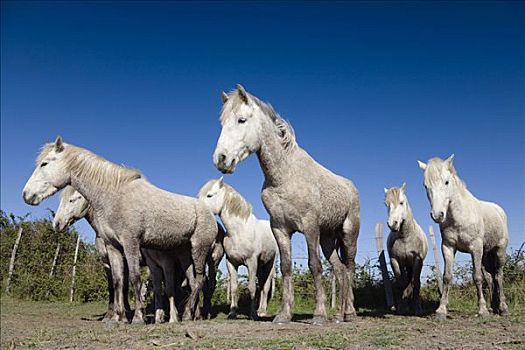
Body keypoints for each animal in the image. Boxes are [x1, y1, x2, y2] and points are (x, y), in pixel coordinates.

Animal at [24, 138, 217, 324]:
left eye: (44, 164)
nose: (26, 195)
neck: (115, 196)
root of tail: (210, 213)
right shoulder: (113, 248)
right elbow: (117, 283)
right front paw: (118, 317)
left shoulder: (130, 243)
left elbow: (134, 278)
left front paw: (137, 317)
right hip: (185, 255)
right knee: (193, 281)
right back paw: (191, 314)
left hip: (199, 249)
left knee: (199, 281)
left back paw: (188, 315)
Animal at [198, 178, 278, 320]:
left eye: (209, 195)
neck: (238, 231)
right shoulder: (231, 263)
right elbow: (234, 288)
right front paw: (232, 313)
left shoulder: (252, 262)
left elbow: (251, 288)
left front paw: (253, 315)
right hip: (260, 266)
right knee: (262, 285)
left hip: (269, 264)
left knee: (266, 286)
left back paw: (261, 311)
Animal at [211, 85, 358, 326]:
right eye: (222, 122)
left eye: (242, 120)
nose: (221, 159)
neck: (285, 176)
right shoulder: (280, 229)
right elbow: (286, 267)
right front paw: (284, 315)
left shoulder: (310, 227)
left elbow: (314, 265)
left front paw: (319, 315)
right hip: (328, 239)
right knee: (339, 269)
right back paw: (338, 315)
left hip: (348, 234)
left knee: (349, 267)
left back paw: (350, 313)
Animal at [382, 183, 428, 314]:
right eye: (386, 204)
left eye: (401, 202)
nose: (392, 224)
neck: (405, 237)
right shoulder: (395, 260)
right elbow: (401, 282)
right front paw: (403, 306)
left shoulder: (418, 260)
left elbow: (415, 282)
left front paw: (416, 308)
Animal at [418, 154, 508, 318]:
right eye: (425, 185)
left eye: (446, 182)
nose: (437, 215)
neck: (460, 217)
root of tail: (499, 211)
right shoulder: (448, 247)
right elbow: (447, 277)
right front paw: (441, 310)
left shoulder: (475, 248)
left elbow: (477, 277)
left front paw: (482, 310)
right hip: (486, 254)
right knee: (490, 278)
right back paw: (494, 307)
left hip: (499, 250)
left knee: (499, 276)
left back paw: (503, 308)